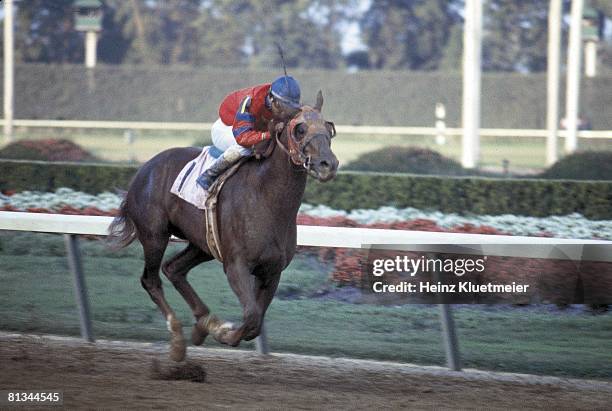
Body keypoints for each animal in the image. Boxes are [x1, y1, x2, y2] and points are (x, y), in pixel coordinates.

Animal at [109, 91, 340, 362]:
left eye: (329, 127)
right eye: (300, 128)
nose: (328, 164)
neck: (267, 198)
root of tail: (142, 170)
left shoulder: (272, 270)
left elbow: (256, 322)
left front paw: (219, 329)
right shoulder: (236, 265)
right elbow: (251, 316)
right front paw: (225, 333)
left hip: (203, 244)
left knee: (173, 269)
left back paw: (203, 324)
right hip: (154, 235)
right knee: (151, 280)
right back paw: (178, 339)